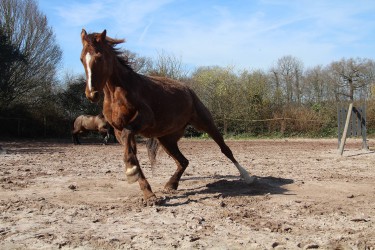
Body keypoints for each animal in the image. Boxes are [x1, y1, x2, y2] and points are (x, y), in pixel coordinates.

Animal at [79, 29, 256, 205]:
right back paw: (171, 184)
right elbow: (131, 153)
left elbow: (129, 137)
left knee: (225, 150)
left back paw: (247, 177)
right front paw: (148, 194)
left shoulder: (145, 118)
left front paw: (131, 172)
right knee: (183, 161)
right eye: (81, 59)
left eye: (99, 57)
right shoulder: (117, 130)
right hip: (166, 139)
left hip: (206, 124)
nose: (91, 94)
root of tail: (188, 90)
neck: (117, 93)